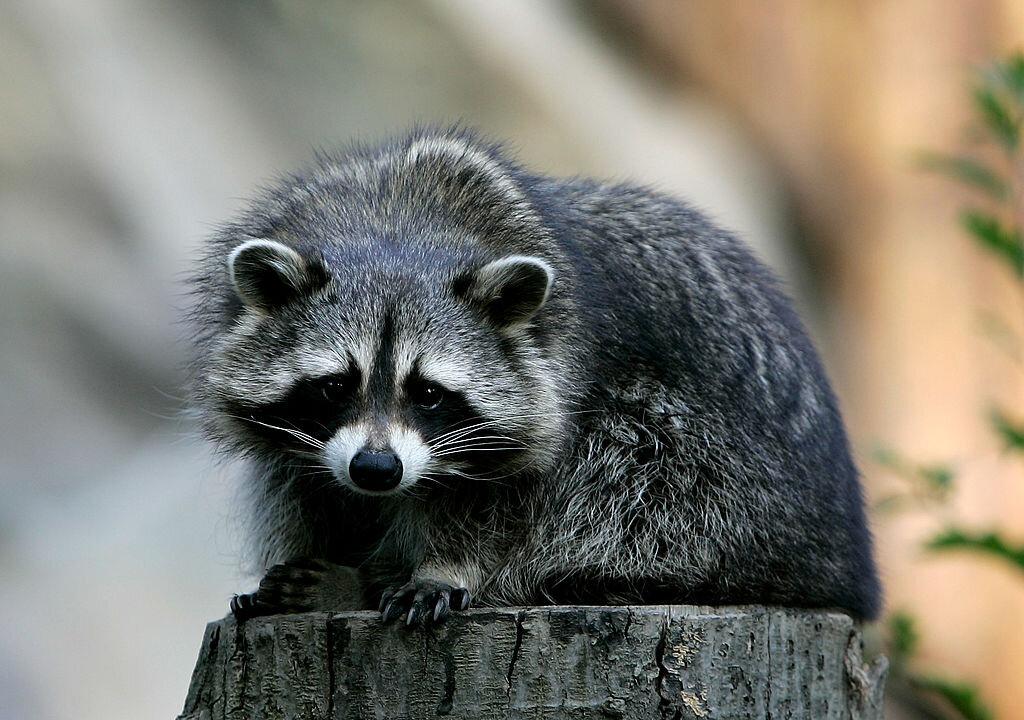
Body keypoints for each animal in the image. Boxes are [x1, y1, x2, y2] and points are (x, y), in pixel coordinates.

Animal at [188, 127, 881, 626]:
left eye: (429, 393)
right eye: (336, 385)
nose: (378, 470)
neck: (395, 225)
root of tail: (846, 569)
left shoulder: (555, 372)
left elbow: (514, 495)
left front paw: (442, 568)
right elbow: (299, 483)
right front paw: (321, 548)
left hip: (725, 495)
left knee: (622, 464)